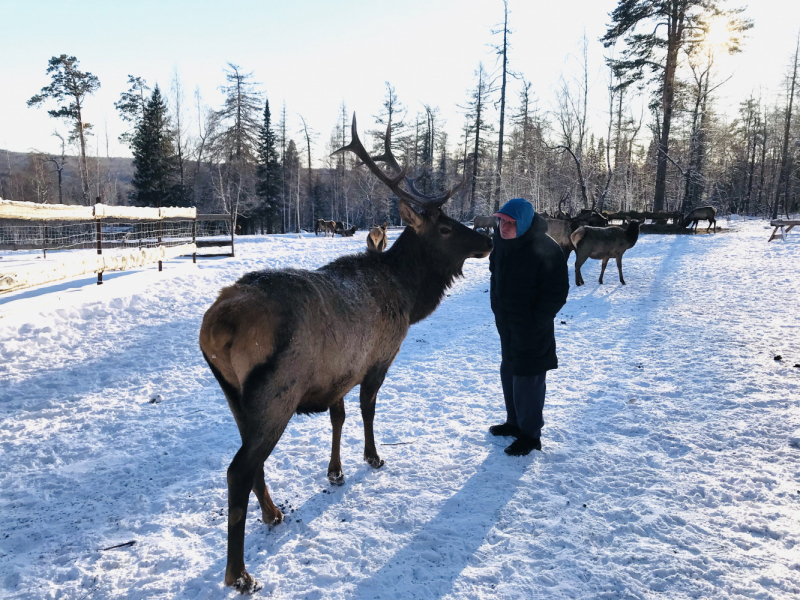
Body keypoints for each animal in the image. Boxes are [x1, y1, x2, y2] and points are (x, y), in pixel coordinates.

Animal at [198, 115, 494, 592]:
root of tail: (215, 327)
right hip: (278, 390)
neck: (409, 297)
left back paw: (273, 513)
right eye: (446, 227)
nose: (487, 241)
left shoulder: (338, 370)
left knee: (249, 458)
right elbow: (367, 409)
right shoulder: (379, 356)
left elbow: (336, 417)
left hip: (234, 393)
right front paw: (372, 457)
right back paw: (240, 574)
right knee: (238, 468)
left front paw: (334, 471)